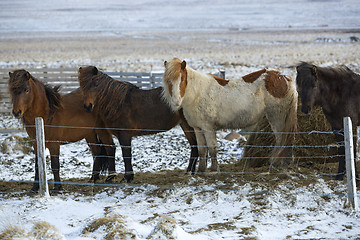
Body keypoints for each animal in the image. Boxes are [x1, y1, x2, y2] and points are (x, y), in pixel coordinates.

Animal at [163, 57, 298, 172]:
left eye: (182, 79)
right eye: (169, 80)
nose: (176, 101)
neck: (197, 94)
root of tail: (284, 77)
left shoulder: (208, 127)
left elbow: (212, 148)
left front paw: (214, 170)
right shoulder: (197, 128)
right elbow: (202, 149)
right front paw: (201, 170)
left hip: (277, 117)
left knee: (281, 139)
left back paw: (275, 163)